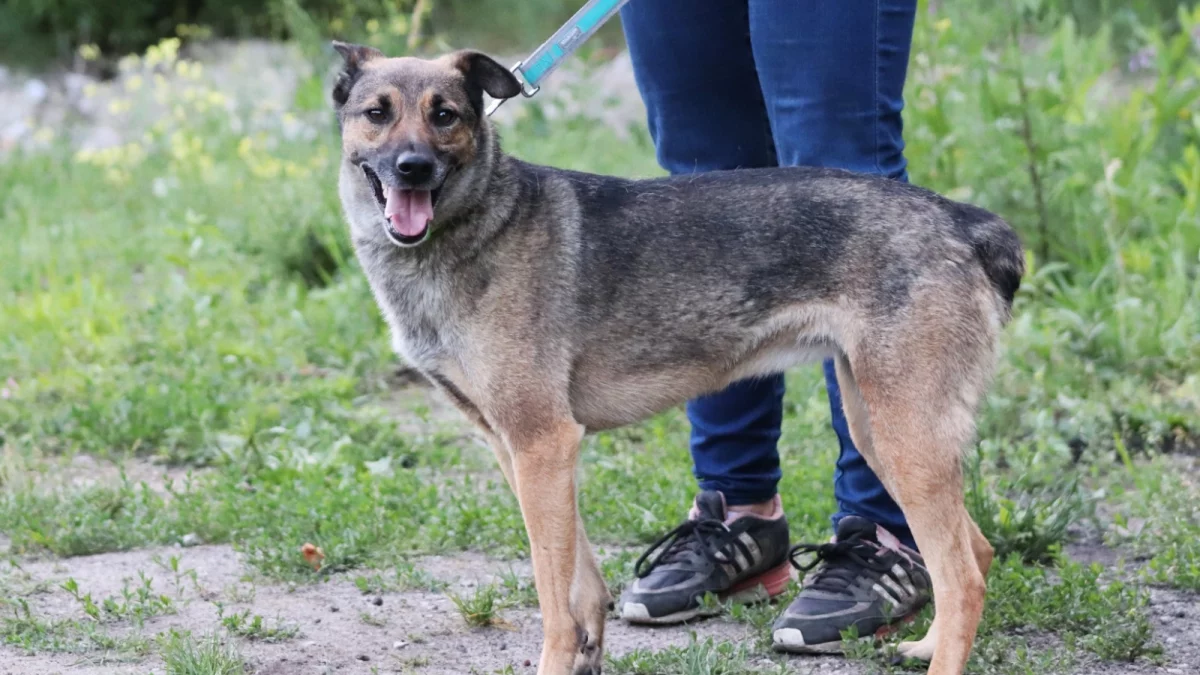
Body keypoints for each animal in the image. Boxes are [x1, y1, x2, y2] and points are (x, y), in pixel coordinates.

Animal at [331, 43, 1022, 672]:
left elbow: (554, 605)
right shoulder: (522, 453)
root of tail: (960, 220)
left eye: (445, 115)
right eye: (377, 113)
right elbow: (582, 588)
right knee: (975, 553)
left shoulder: (542, 445)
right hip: (880, 431)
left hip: (905, 438)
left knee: (963, 577)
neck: (478, 225)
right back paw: (925, 644)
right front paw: (588, 653)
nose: (412, 168)